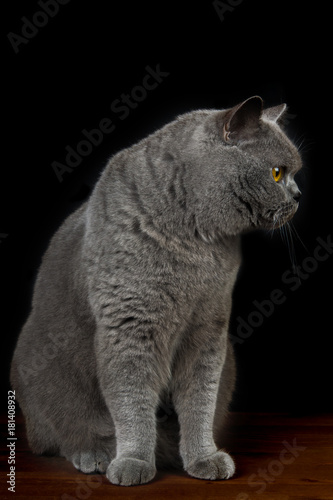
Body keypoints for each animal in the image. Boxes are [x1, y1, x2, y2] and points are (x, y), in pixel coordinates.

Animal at [9, 95, 300, 486]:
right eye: (277, 173)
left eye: (293, 173)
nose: (298, 195)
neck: (196, 240)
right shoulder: (130, 325)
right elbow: (132, 400)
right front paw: (133, 462)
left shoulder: (209, 327)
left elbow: (200, 399)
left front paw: (202, 458)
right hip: (43, 363)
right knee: (63, 431)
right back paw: (96, 453)